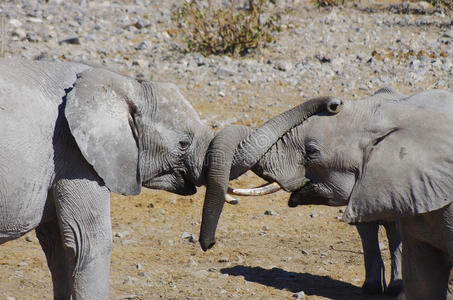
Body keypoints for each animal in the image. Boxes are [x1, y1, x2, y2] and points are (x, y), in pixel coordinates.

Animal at [0, 59, 212, 300]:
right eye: (183, 144)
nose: (206, 244)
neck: (126, 84)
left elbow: (58, 247)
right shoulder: (73, 155)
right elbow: (87, 243)